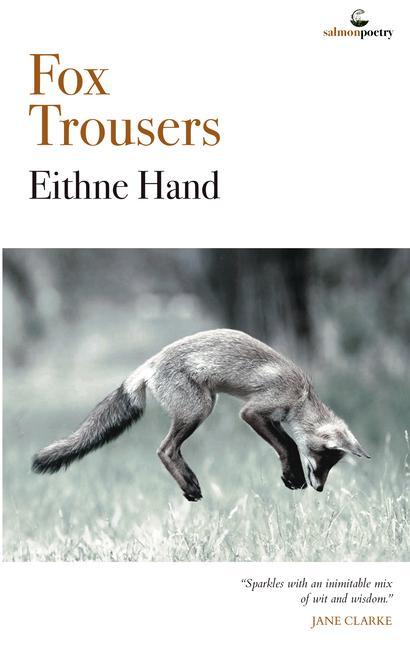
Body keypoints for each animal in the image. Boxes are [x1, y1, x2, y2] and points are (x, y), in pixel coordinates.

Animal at [32, 329, 370, 500]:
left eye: (331, 464)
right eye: (324, 458)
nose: (321, 488)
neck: (301, 397)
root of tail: (151, 362)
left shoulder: (271, 417)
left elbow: (286, 445)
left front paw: (293, 476)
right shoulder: (254, 412)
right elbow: (287, 445)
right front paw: (293, 476)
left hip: (202, 405)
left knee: (169, 450)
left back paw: (190, 482)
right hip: (200, 408)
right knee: (165, 449)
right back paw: (189, 486)